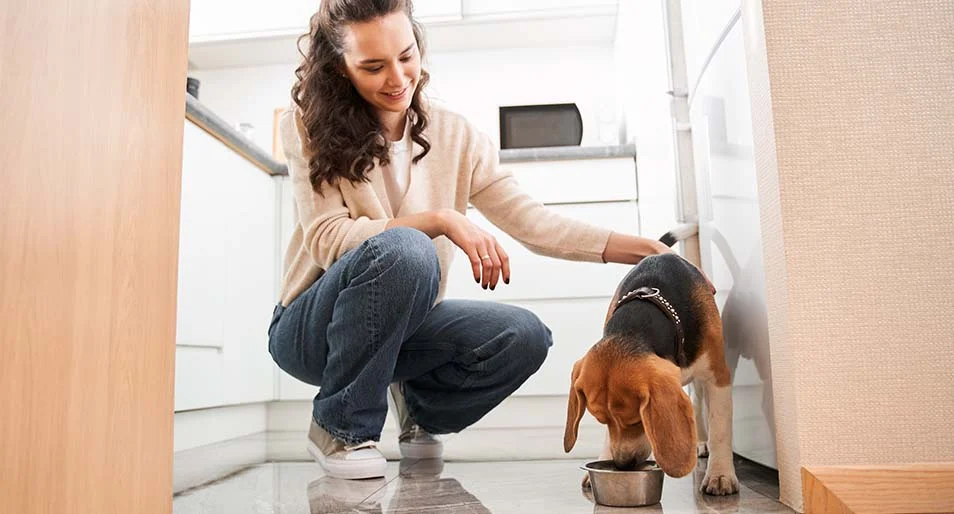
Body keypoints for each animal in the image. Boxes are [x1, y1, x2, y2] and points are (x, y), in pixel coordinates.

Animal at [560, 234, 740, 494]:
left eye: (637, 421)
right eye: (602, 420)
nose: (623, 465)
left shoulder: (718, 377)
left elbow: (720, 429)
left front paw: (720, 475)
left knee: (697, 401)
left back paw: (702, 443)